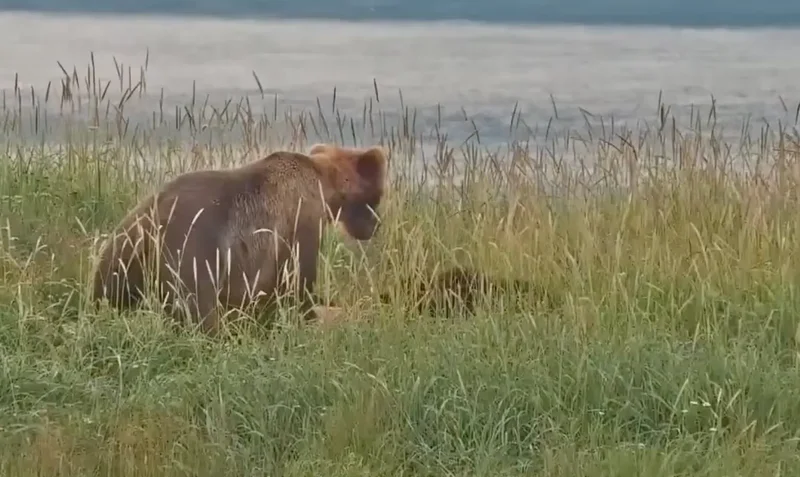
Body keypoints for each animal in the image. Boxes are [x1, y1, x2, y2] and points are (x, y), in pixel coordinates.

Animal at [90, 143, 388, 336]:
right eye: (377, 196)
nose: (375, 226)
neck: (322, 185)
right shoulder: (299, 222)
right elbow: (297, 281)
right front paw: (309, 314)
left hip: (126, 247)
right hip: (191, 247)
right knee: (198, 305)